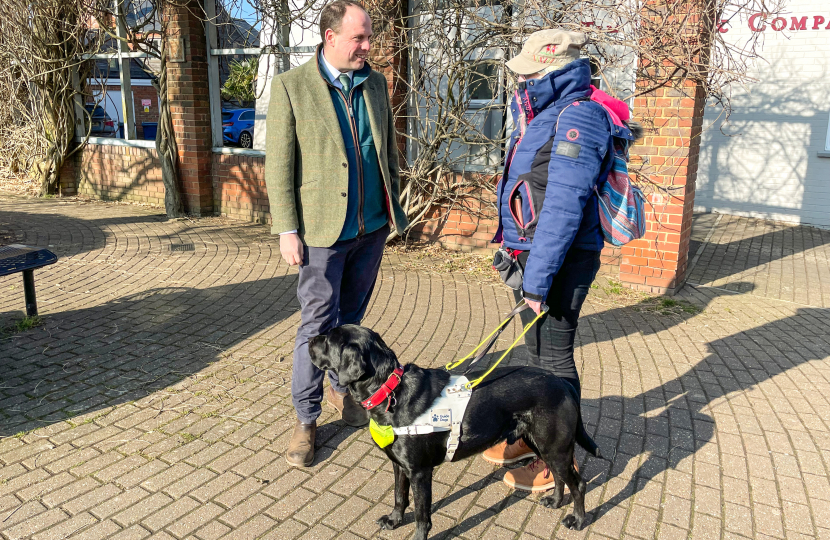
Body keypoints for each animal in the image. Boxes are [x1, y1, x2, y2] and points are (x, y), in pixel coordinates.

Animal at [312, 322, 604, 536]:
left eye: (329, 340)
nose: (310, 340)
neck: (390, 389)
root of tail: (563, 383)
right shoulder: (399, 465)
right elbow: (398, 496)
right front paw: (394, 520)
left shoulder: (420, 472)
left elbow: (422, 516)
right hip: (540, 444)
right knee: (559, 477)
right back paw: (555, 502)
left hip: (554, 446)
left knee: (578, 483)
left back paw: (578, 520)